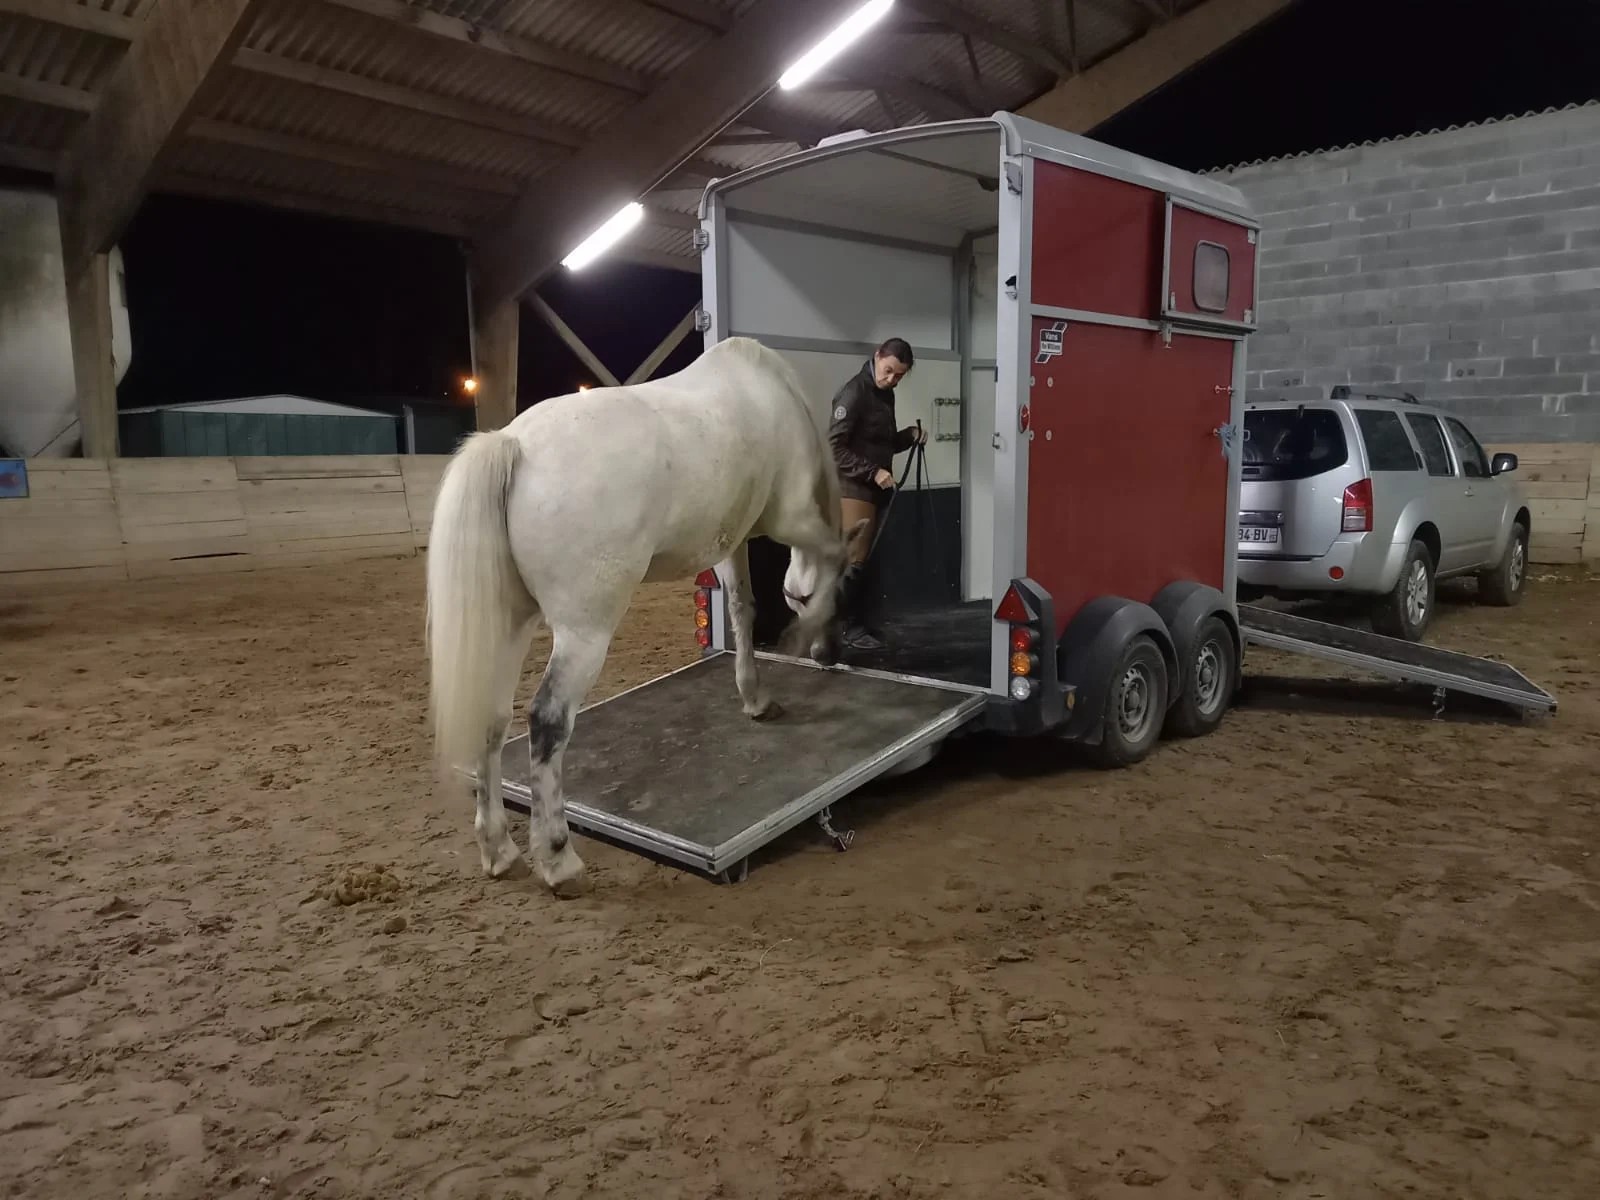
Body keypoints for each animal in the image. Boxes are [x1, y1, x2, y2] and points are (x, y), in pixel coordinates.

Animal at [419, 334, 857, 896]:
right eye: (847, 591)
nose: (829, 654)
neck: (772, 392)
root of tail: (513, 443)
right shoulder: (792, 519)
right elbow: (825, 559)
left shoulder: (729, 540)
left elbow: (742, 607)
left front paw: (755, 697)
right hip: (583, 635)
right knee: (546, 722)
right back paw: (558, 860)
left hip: (510, 628)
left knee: (492, 719)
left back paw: (498, 850)